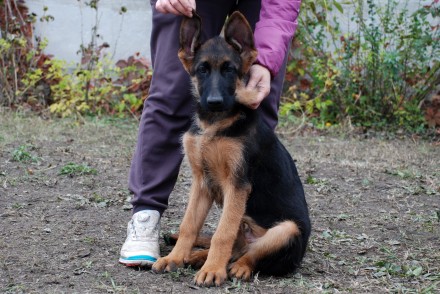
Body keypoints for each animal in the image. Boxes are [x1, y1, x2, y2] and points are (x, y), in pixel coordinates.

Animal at [153, 12, 312, 288]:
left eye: (230, 70)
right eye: (202, 70)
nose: (215, 102)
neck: (214, 125)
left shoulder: (237, 185)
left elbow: (222, 234)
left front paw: (212, 270)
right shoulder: (201, 183)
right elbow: (188, 225)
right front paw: (175, 258)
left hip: (287, 229)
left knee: (250, 254)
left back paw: (236, 267)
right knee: (237, 247)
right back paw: (196, 257)